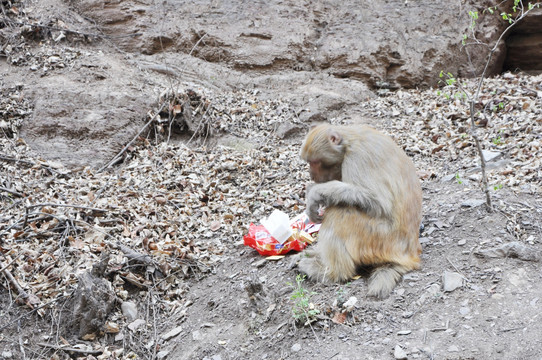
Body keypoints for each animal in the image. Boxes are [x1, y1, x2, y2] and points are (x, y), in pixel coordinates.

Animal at [300, 124, 422, 298]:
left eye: (314, 162)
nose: (311, 174)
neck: (348, 143)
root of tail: (411, 253)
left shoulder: (358, 158)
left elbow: (378, 201)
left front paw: (316, 191)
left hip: (381, 239)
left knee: (340, 213)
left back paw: (333, 272)